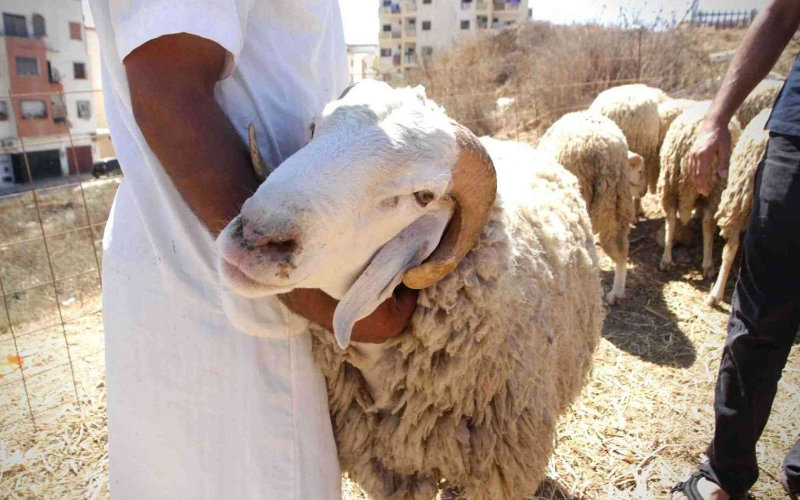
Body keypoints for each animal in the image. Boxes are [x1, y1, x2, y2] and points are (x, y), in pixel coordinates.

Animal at [656, 99, 744, 280]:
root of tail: (688, 141)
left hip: (669, 180)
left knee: (670, 217)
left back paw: (666, 259)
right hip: (716, 187)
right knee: (708, 222)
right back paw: (708, 264)